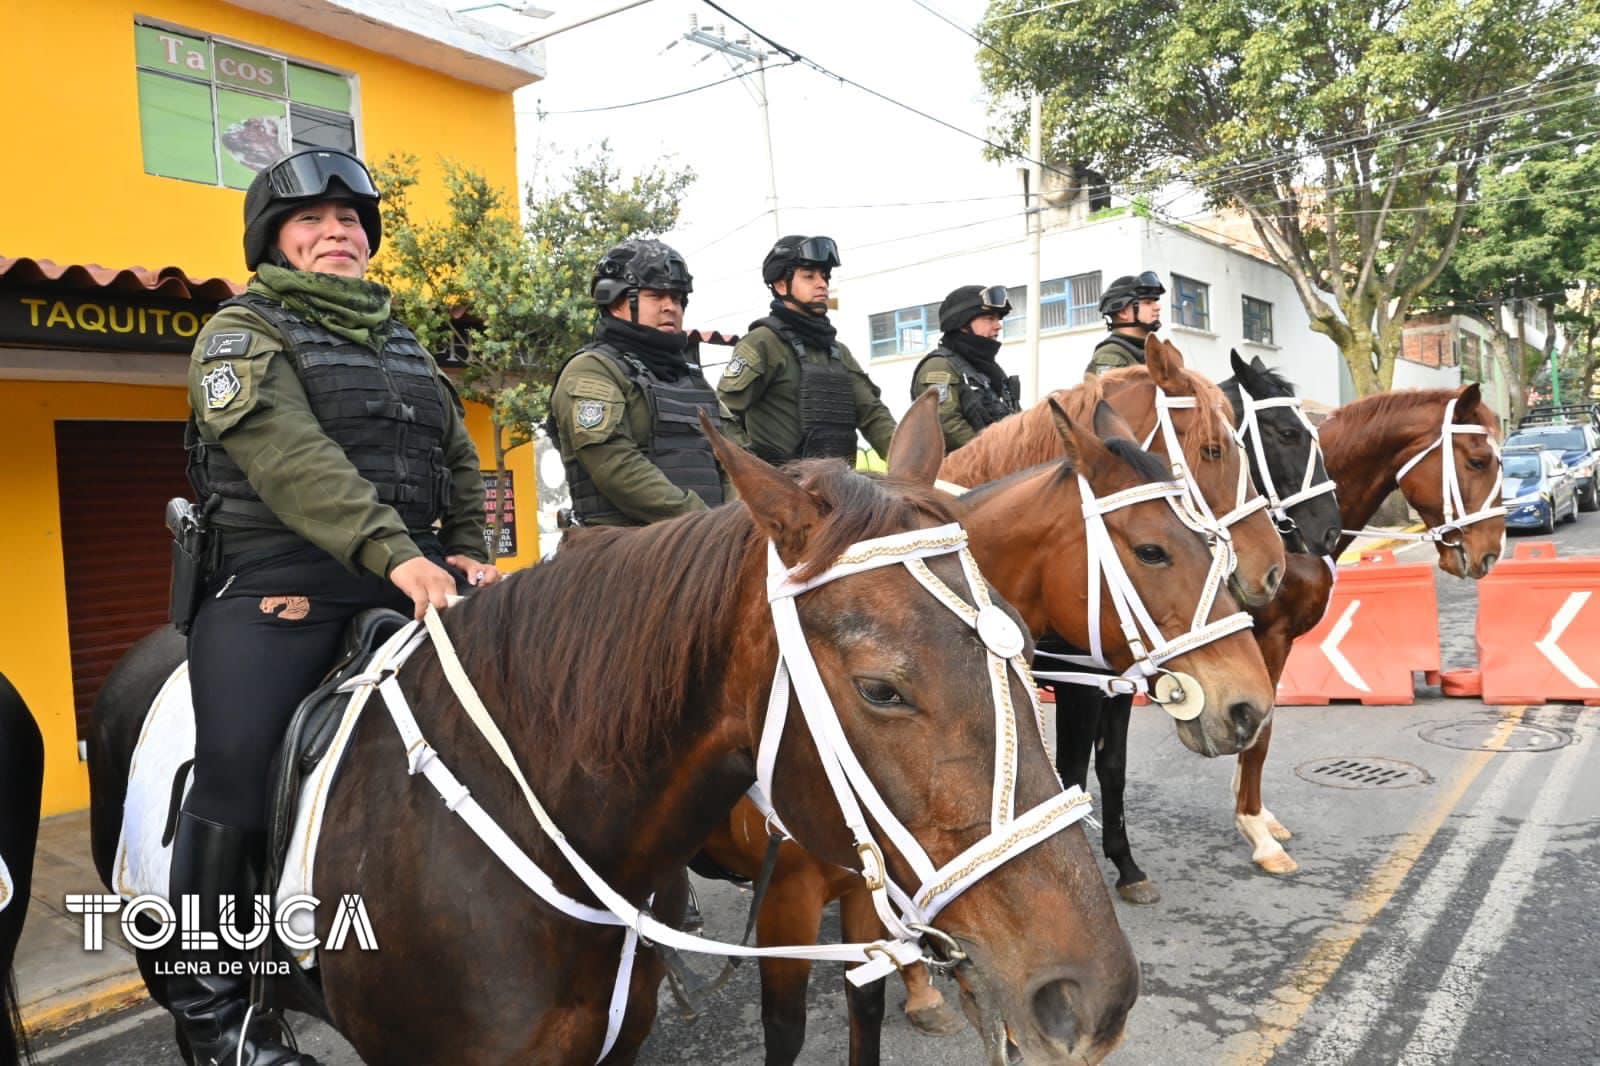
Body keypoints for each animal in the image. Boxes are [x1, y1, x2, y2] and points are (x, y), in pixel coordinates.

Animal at [1228, 382, 1504, 870]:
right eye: (1477, 460)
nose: (1492, 551)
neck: (1286, 529)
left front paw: (1256, 815)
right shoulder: (1271, 637)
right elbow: (1260, 733)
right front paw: (1258, 831)